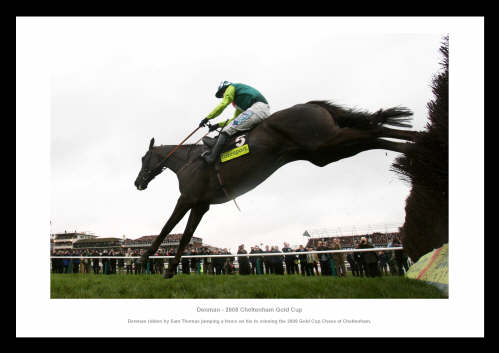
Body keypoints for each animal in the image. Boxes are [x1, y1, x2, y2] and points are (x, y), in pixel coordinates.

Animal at [134, 99, 418, 278]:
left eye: (143, 158)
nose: (137, 182)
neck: (189, 161)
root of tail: (311, 105)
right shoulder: (202, 204)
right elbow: (185, 235)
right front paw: (169, 269)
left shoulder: (188, 198)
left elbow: (169, 229)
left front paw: (144, 259)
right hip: (326, 152)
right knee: (372, 134)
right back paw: (414, 145)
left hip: (325, 142)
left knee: (373, 131)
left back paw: (417, 141)